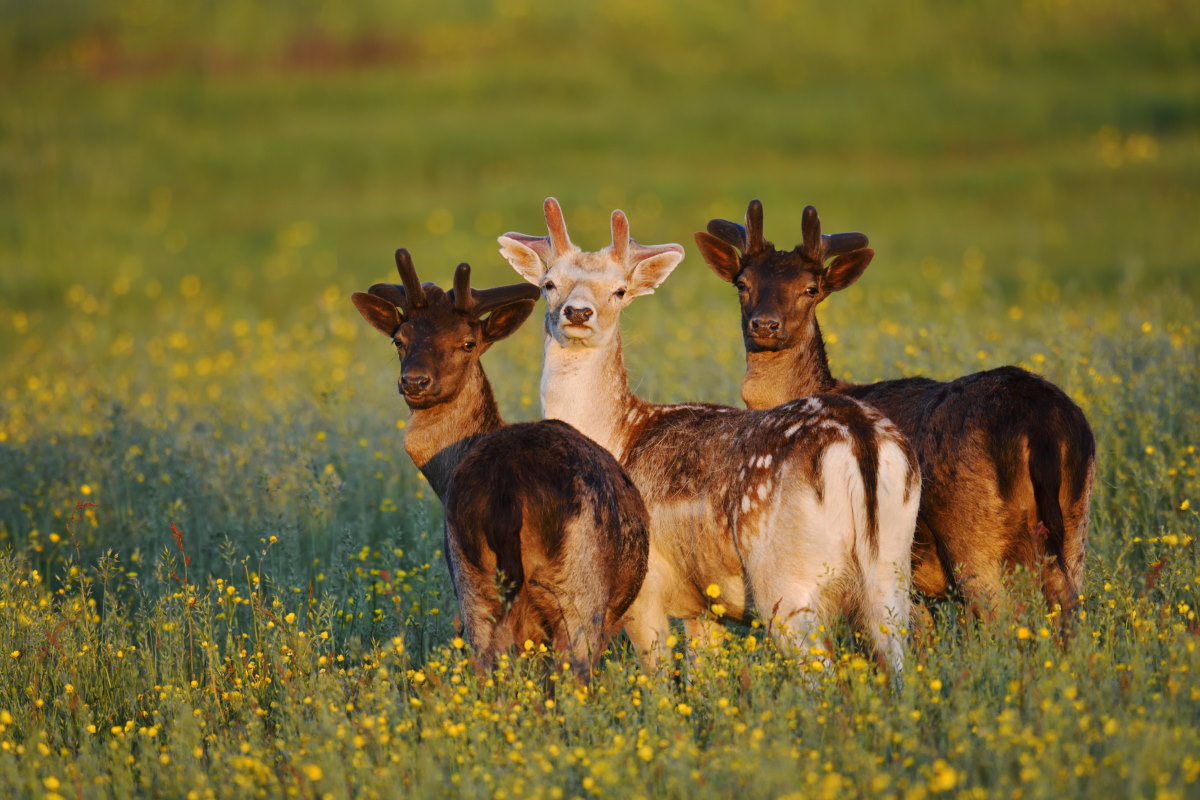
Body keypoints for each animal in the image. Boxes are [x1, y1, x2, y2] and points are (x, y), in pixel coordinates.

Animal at [348, 248, 652, 676]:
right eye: (399, 339)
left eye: (468, 342)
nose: (415, 381)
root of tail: (510, 494)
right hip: (579, 588)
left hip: (471, 581)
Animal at [696, 201, 1099, 618]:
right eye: (742, 283)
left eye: (811, 289)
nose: (765, 324)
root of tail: (1041, 428)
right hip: (1076, 521)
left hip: (974, 532)